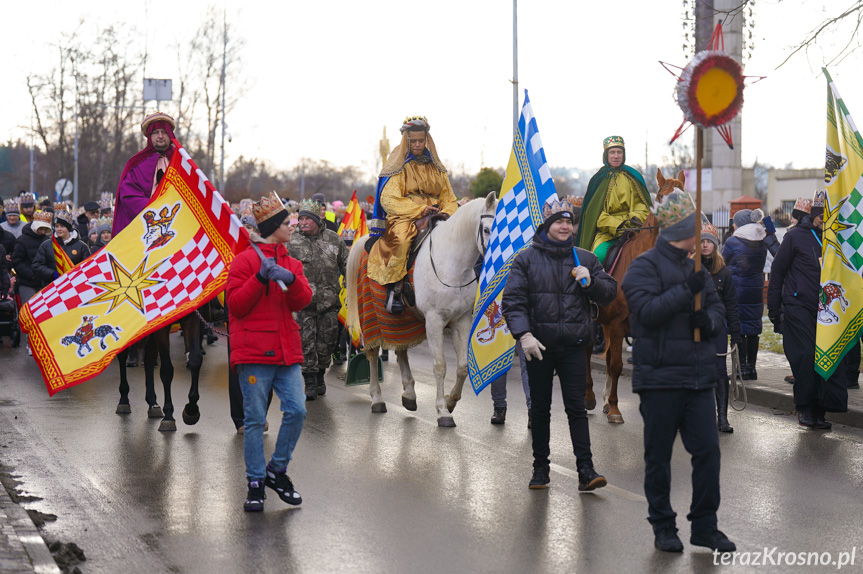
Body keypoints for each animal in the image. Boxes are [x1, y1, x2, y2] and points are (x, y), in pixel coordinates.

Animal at [342, 192, 496, 428]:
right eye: (487, 229)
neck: (452, 264)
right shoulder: (434, 320)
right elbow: (440, 365)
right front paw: (442, 411)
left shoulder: (462, 320)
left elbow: (462, 367)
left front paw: (451, 401)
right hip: (371, 318)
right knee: (372, 354)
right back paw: (377, 399)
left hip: (400, 319)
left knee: (401, 350)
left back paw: (409, 395)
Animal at [584, 169, 684, 426]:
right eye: (661, 196)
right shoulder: (618, 324)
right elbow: (617, 365)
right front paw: (615, 409)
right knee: (589, 352)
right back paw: (590, 398)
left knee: (607, 355)